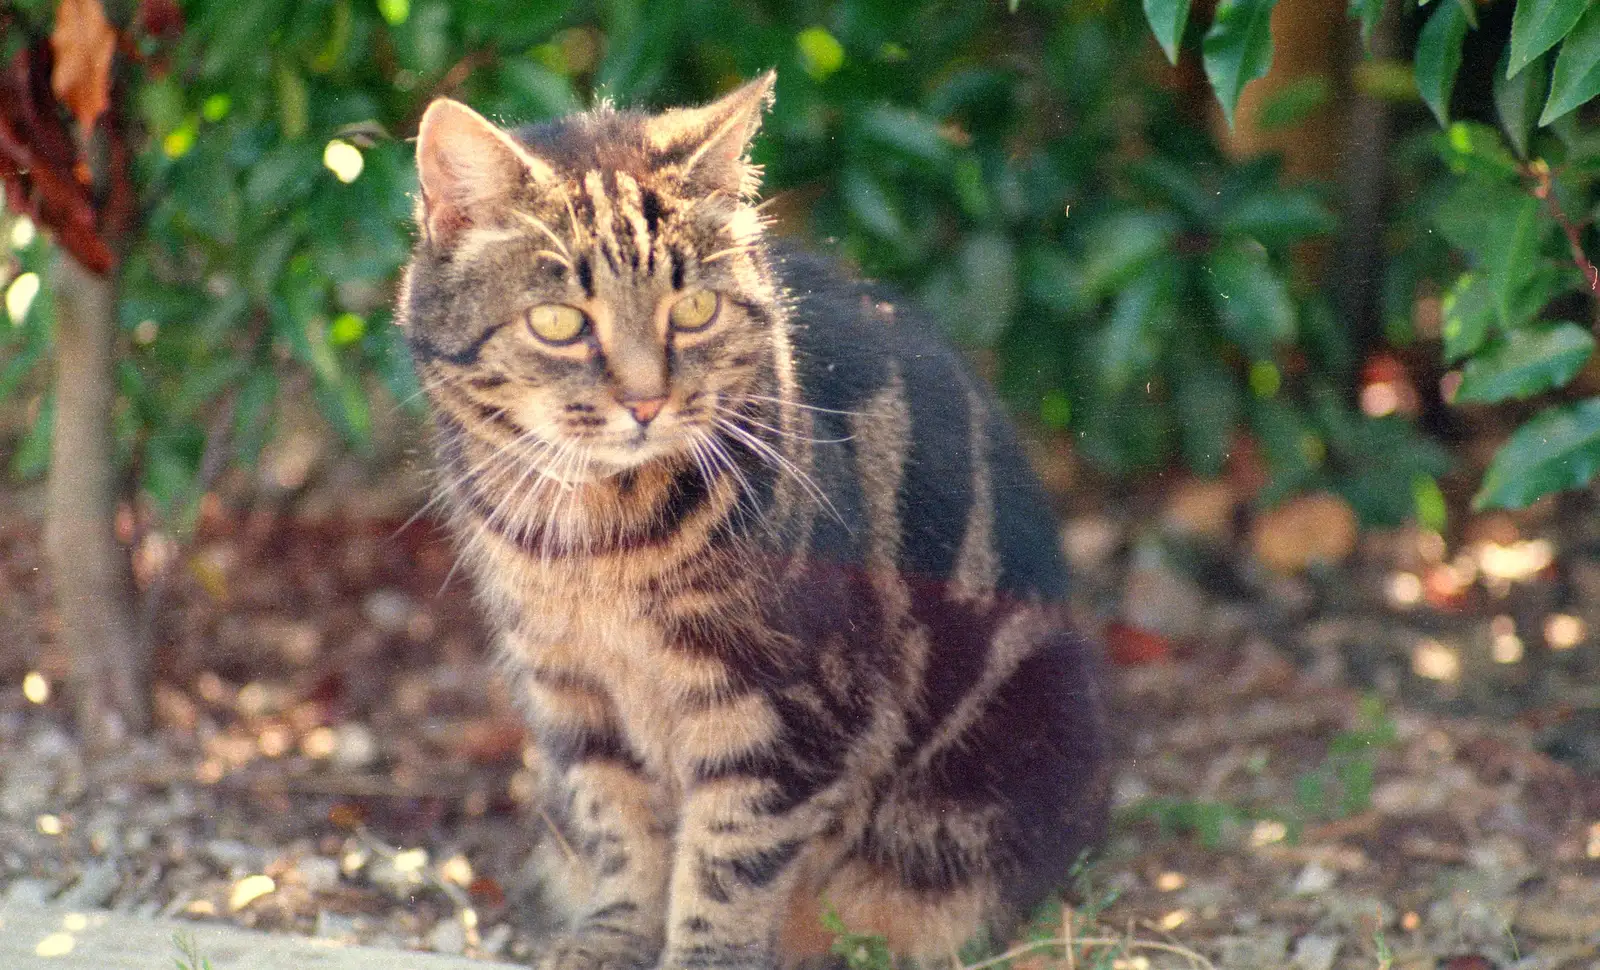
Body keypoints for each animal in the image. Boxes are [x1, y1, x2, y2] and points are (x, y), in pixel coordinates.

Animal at [396, 72, 1113, 966]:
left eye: (695, 310)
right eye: (558, 322)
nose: (646, 401)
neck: (598, 539)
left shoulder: (781, 710)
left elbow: (727, 864)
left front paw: (701, 953)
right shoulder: (573, 693)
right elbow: (623, 834)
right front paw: (608, 940)